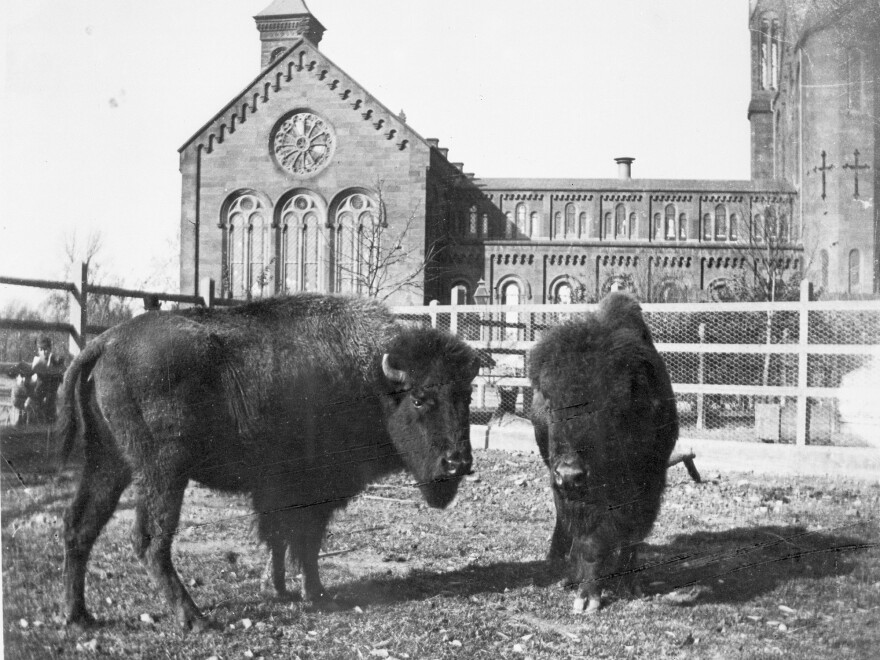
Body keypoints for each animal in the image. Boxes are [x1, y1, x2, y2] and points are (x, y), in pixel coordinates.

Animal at [57, 292, 478, 628]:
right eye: (420, 399)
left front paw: (277, 589)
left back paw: (79, 617)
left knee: (81, 525)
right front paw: (315, 593)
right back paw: (195, 619)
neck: (372, 380)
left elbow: (278, 537)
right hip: (163, 472)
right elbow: (305, 541)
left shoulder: (276, 491)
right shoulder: (312, 491)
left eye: (468, 396)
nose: (457, 463)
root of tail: (107, 341)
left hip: (108, 462)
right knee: (150, 539)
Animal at [524, 294, 676, 612]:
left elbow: (631, 533)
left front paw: (627, 584)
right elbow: (587, 537)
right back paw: (567, 573)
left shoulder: (649, 484)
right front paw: (586, 595)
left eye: (614, 405)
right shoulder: (574, 493)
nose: (570, 474)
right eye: (550, 403)